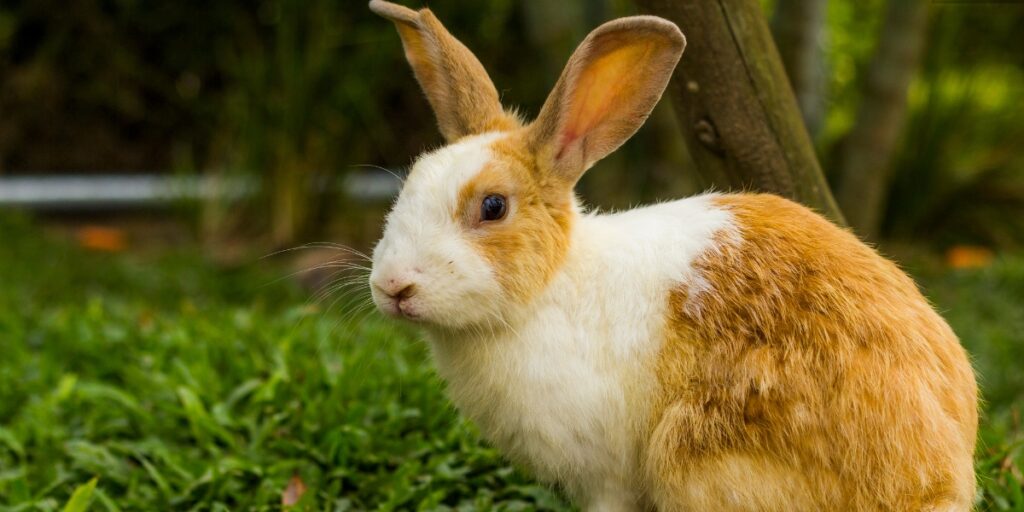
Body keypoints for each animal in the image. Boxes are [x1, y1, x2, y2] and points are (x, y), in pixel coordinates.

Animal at [366, 2, 974, 509]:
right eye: (410, 182)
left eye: (492, 207)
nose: (392, 287)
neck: (550, 288)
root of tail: (934, 484)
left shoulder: (607, 479)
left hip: (699, 460)